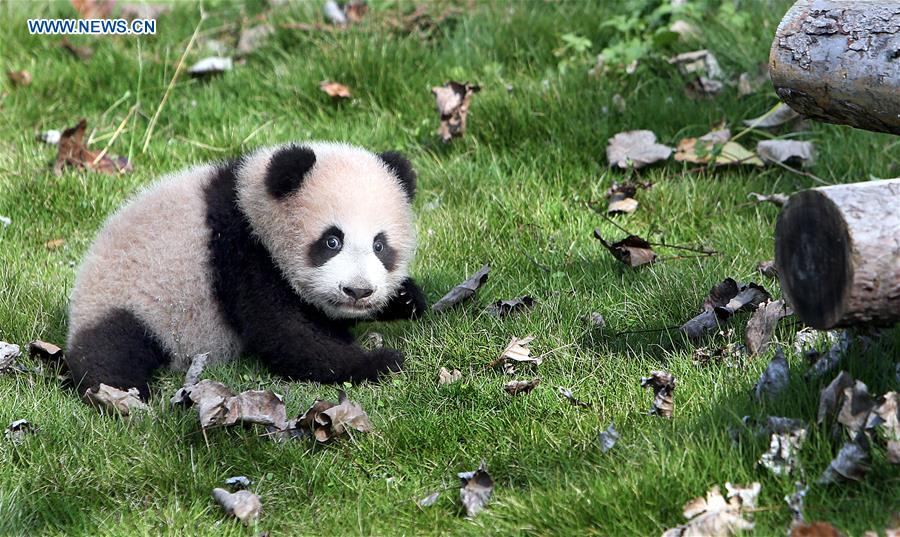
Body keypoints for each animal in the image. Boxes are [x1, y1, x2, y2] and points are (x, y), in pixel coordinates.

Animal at [65, 142, 427, 400]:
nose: (357, 291)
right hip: (130, 301)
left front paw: (407, 299)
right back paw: (121, 394)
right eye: (332, 241)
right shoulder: (245, 257)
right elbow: (286, 334)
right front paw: (379, 362)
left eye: (380, 246)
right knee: (110, 349)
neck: (252, 206)